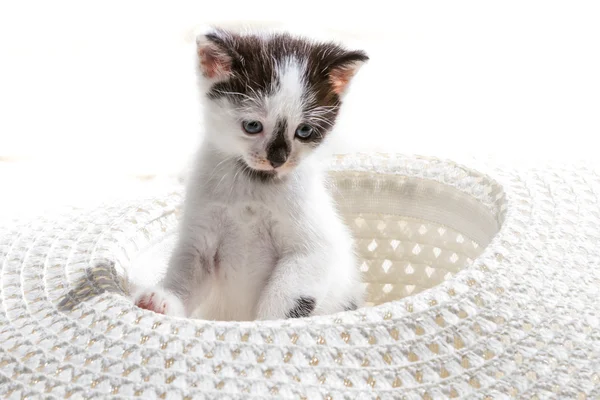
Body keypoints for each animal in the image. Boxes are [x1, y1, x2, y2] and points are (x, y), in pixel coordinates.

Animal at [134, 28, 368, 320]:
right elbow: (188, 273)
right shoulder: (200, 235)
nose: (278, 159)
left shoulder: (311, 250)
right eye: (253, 126)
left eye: (304, 131)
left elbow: (285, 298)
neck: (253, 183)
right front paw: (163, 301)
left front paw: (266, 325)